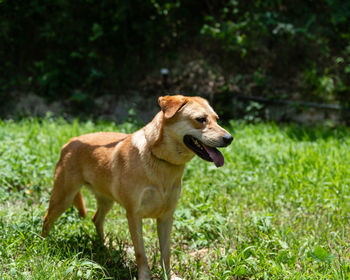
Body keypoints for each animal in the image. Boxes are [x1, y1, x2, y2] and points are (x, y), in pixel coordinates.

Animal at [41, 95, 232, 278]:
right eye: (200, 119)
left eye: (217, 119)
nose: (229, 138)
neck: (160, 161)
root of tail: (71, 141)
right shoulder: (134, 215)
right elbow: (141, 252)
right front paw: (144, 276)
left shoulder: (166, 216)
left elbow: (166, 253)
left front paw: (168, 276)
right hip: (63, 197)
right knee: (47, 219)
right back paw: (44, 245)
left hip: (106, 199)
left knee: (96, 219)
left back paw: (103, 247)